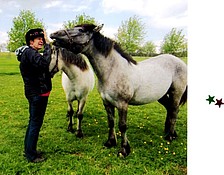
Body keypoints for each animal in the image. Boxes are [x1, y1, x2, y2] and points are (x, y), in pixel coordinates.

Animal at [50, 23, 187, 157]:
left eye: (81, 30)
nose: (54, 34)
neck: (112, 71)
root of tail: (179, 61)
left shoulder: (122, 104)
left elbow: (122, 126)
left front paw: (124, 150)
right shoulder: (107, 103)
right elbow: (111, 122)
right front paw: (110, 142)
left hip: (176, 93)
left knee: (174, 111)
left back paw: (169, 136)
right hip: (162, 96)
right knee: (170, 109)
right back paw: (170, 132)